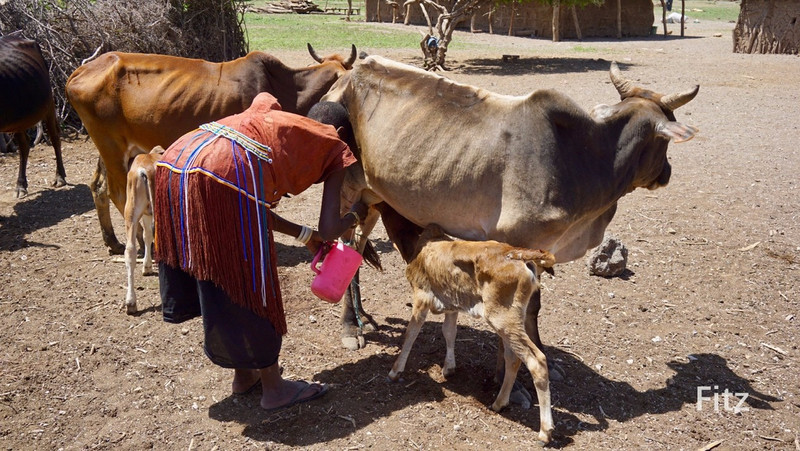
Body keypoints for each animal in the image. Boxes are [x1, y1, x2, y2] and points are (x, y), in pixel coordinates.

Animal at [0, 32, 66, 199]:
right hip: (18, 119)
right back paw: (21, 185)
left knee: (55, 137)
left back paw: (60, 177)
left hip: (48, 104)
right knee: (24, 145)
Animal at [66, 44, 356, 256]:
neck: (284, 87)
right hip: (112, 148)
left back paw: (113, 241)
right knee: (117, 193)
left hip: (111, 149)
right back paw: (140, 241)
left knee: (98, 186)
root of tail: (78, 72)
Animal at [390, 224, 552, 444]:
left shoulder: (421, 296)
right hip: (511, 319)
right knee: (513, 358)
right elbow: (449, 331)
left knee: (537, 360)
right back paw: (499, 403)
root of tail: (518, 256)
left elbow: (411, 333)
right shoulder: (451, 304)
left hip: (502, 317)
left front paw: (395, 370)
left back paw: (545, 431)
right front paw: (449, 368)